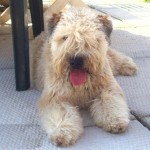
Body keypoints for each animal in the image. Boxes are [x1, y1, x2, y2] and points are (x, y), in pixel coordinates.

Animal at [30, 7, 137, 146]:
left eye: (92, 38)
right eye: (65, 37)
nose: (76, 60)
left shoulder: (108, 88)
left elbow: (110, 101)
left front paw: (115, 119)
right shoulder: (55, 97)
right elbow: (62, 112)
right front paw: (63, 132)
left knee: (113, 55)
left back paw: (128, 65)